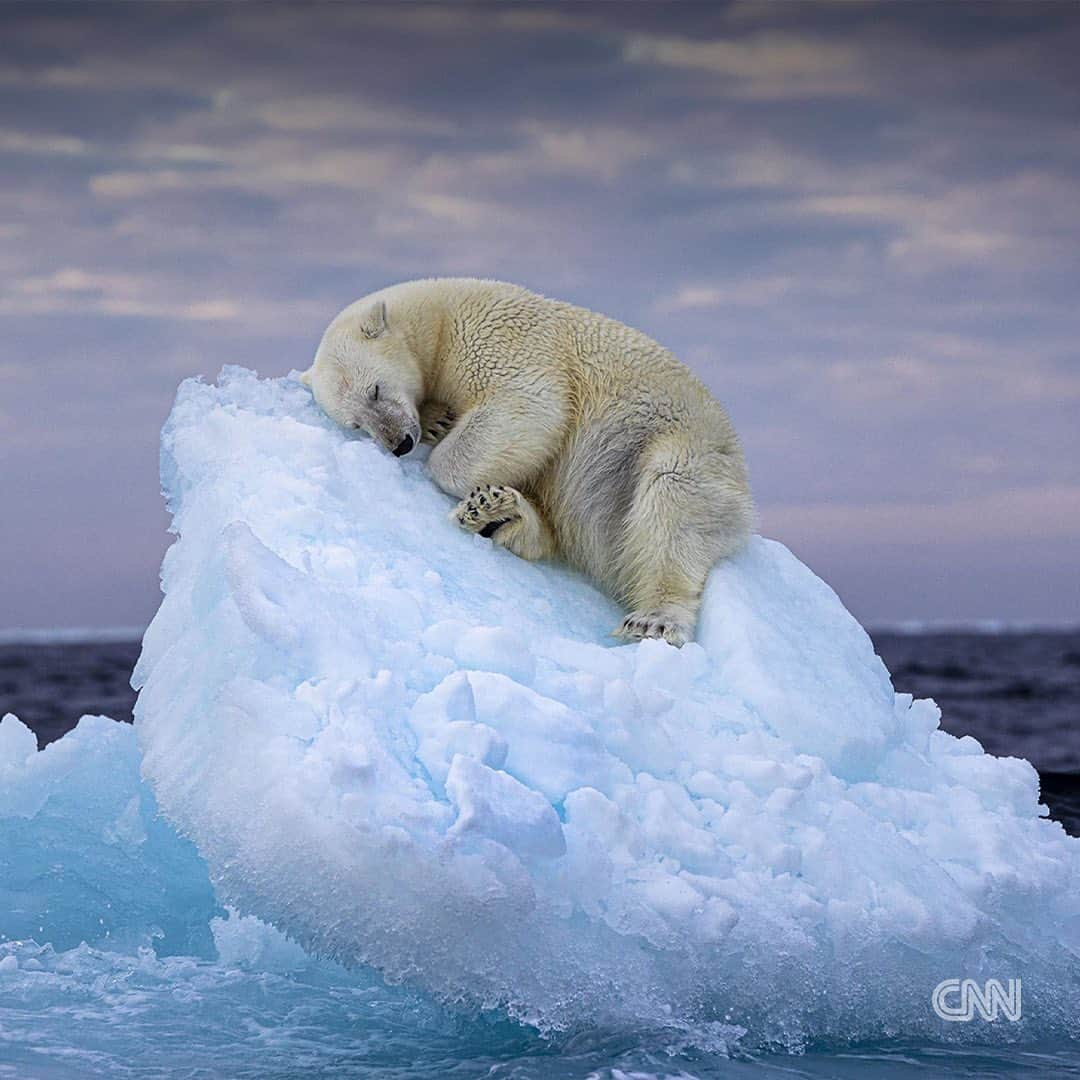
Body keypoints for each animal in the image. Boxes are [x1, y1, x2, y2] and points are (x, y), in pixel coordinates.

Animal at [300, 280, 756, 648]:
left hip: (676, 448)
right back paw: (497, 515)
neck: (439, 317)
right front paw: (437, 421)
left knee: (672, 503)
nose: (399, 443)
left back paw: (653, 620)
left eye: (375, 390)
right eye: (356, 423)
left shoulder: (499, 338)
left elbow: (530, 406)